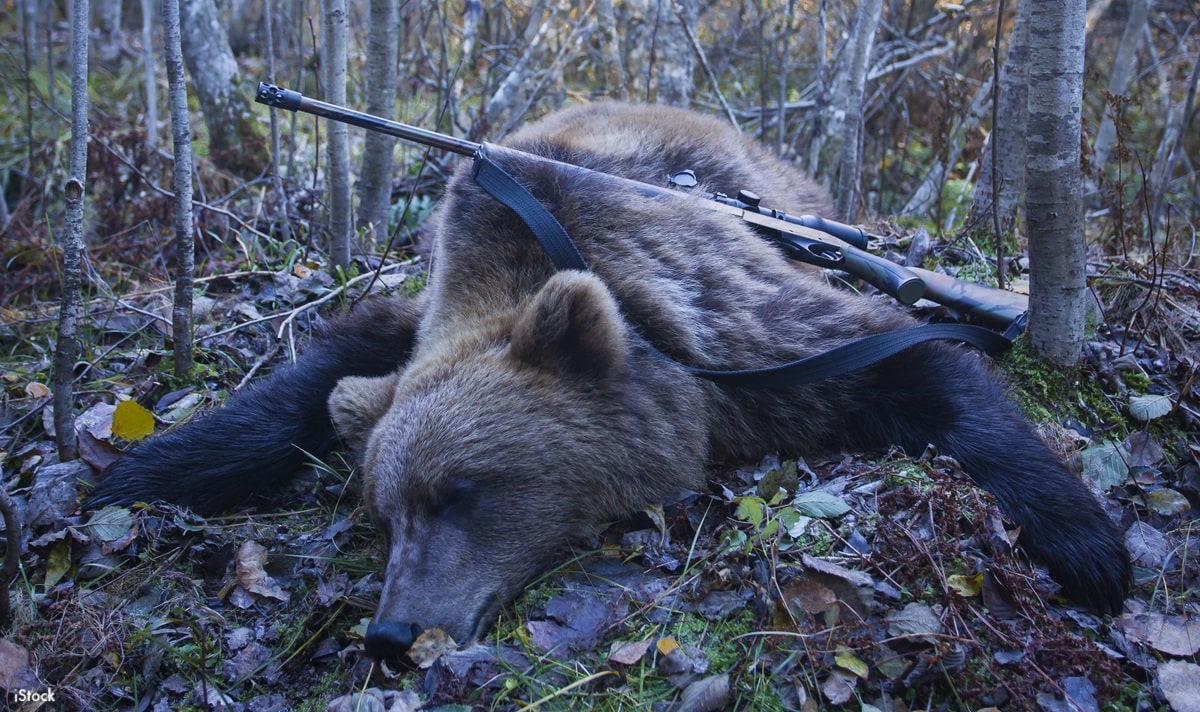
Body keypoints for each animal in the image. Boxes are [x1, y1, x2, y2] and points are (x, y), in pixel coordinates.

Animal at [89, 101, 1131, 662]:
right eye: (385, 514)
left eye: (462, 492)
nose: (391, 635)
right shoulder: (423, 313)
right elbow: (321, 375)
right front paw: (137, 475)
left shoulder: (728, 327)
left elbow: (911, 360)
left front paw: (1090, 546)